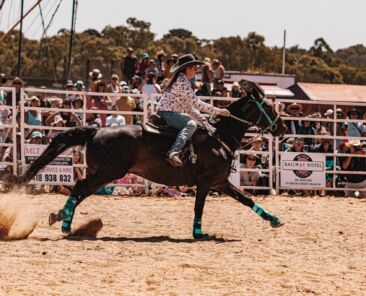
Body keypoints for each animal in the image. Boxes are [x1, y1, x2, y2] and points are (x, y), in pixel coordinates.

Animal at [4, 85, 288, 238]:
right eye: (268, 108)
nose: (282, 127)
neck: (219, 137)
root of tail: (96, 131)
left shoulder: (220, 182)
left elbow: (246, 199)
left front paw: (274, 219)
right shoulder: (206, 183)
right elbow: (199, 208)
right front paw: (198, 233)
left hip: (103, 174)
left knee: (80, 190)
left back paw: (64, 220)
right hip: (108, 173)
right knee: (79, 187)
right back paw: (62, 219)